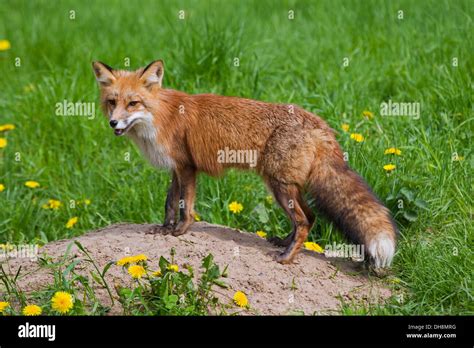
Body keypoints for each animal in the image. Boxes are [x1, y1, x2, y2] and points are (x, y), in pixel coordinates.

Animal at [91, 59, 396, 270]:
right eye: (112, 102)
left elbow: (186, 206)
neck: (159, 117)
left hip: (279, 186)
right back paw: (283, 243)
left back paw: (286, 257)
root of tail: (321, 125)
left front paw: (180, 231)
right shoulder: (175, 168)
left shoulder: (187, 167)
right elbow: (169, 203)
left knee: (303, 221)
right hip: (285, 187)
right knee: (309, 217)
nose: (113, 123)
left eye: (133, 103)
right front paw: (164, 229)